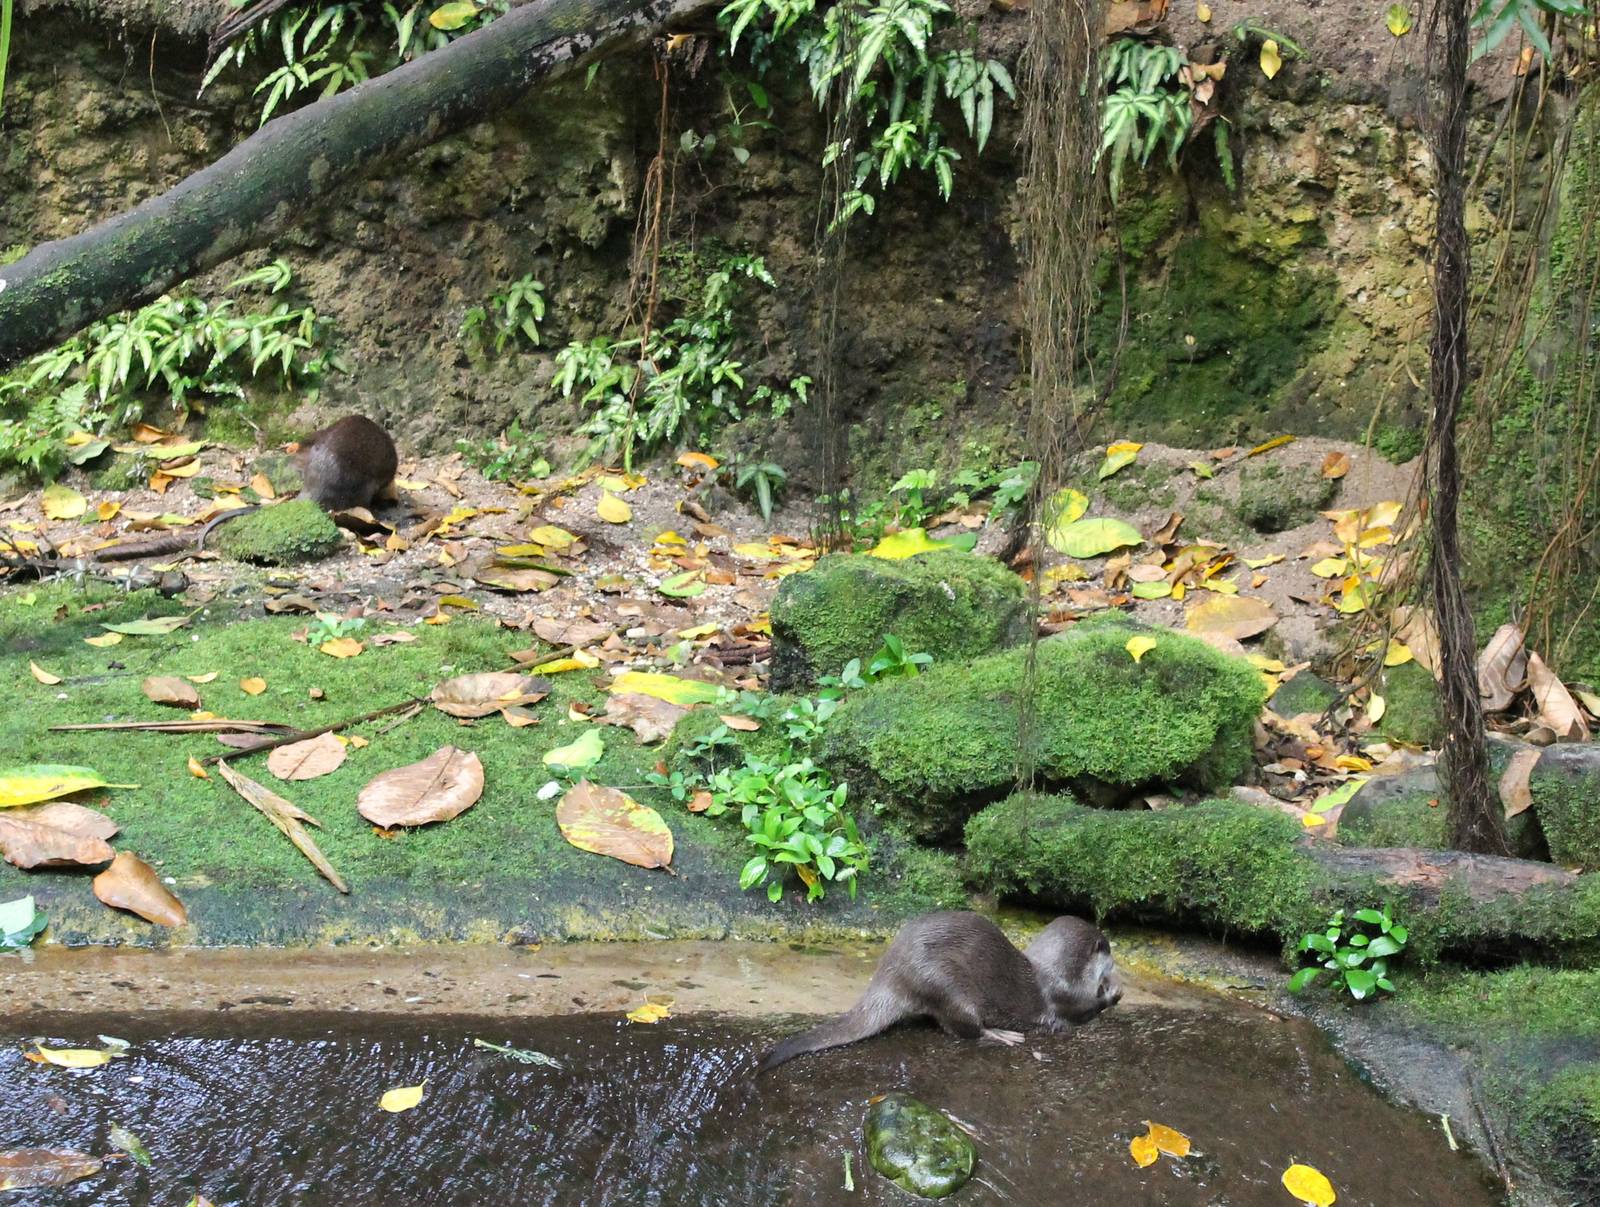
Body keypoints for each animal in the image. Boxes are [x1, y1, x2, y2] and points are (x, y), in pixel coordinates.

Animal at [756, 912, 1121, 1073]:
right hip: (945, 985)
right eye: (1108, 947)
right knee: (960, 1027)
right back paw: (1001, 1034)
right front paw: (1113, 991)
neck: (1057, 969)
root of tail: (892, 974)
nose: (1114, 962)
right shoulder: (1062, 994)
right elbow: (1081, 1010)